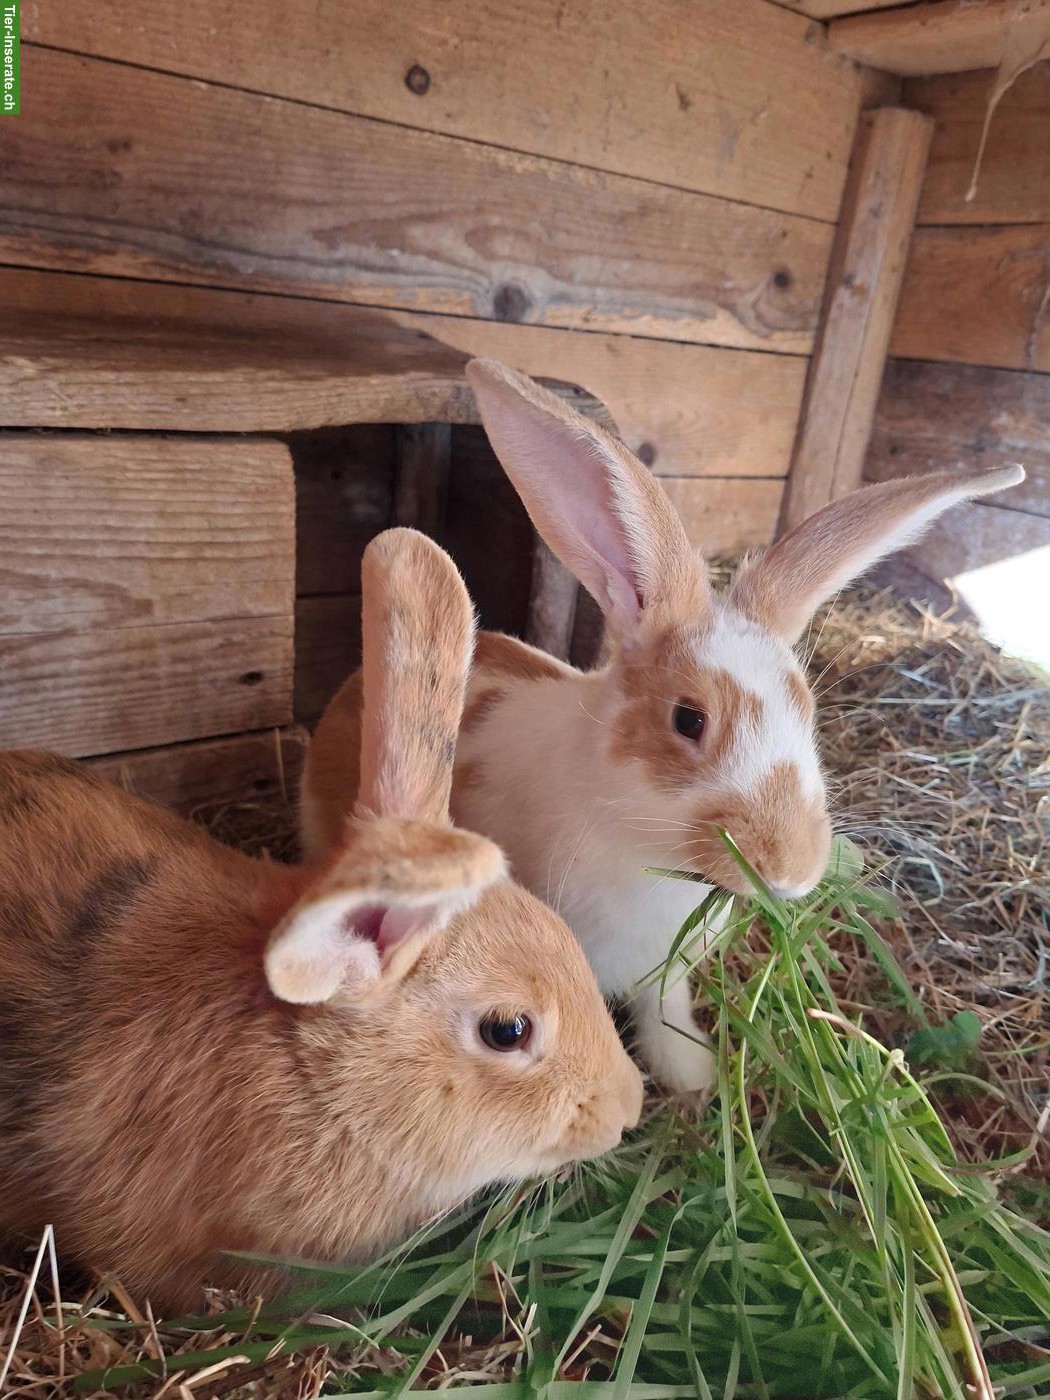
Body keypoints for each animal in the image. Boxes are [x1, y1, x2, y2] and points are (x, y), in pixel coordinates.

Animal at [303, 361, 1025, 1098]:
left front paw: (693, 1075)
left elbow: (666, 1011)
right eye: (688, 719)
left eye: (808, 712)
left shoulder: (665, 971)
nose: (793, 870)